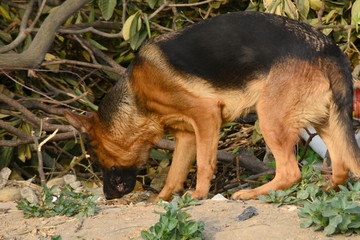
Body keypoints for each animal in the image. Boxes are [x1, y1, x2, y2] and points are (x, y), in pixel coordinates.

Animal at [64, 11, 360, 201]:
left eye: (98, 158)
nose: (106, 196)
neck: (136, 97)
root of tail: (328, 47)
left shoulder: (206, 117)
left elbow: (205, 164)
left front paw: (198, 194)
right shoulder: (185, 135)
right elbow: (175, 172)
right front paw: (161, 199)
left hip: (270, 119)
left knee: (290, 172)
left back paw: (250, 193)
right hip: (325, 122)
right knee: (342, 167)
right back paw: (327, 192)